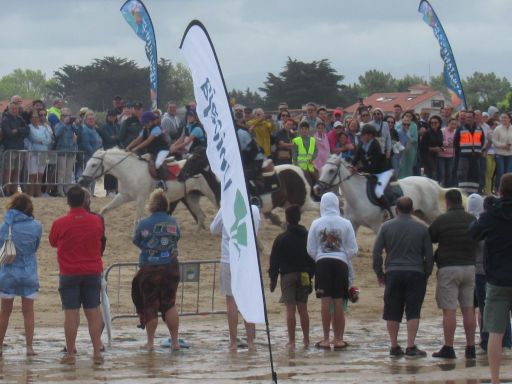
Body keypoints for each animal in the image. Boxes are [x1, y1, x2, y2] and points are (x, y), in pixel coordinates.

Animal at [78, 148, 218, 230]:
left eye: (94, 165)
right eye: (88, 163)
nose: (81, 181)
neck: (131, 171)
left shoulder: (141, 198)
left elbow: (137, 220)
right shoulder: (123, 196)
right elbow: (105, 209)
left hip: (211, 194)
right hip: (191, 197)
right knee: (201, 215)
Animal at [312, 154, 448, 232]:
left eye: (331, 170)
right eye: (322, 169)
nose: (316, 189)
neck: (357, 197)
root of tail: (431, 181)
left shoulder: (376, 226)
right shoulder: (353, 224)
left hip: (431, 211)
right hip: (421, 213)